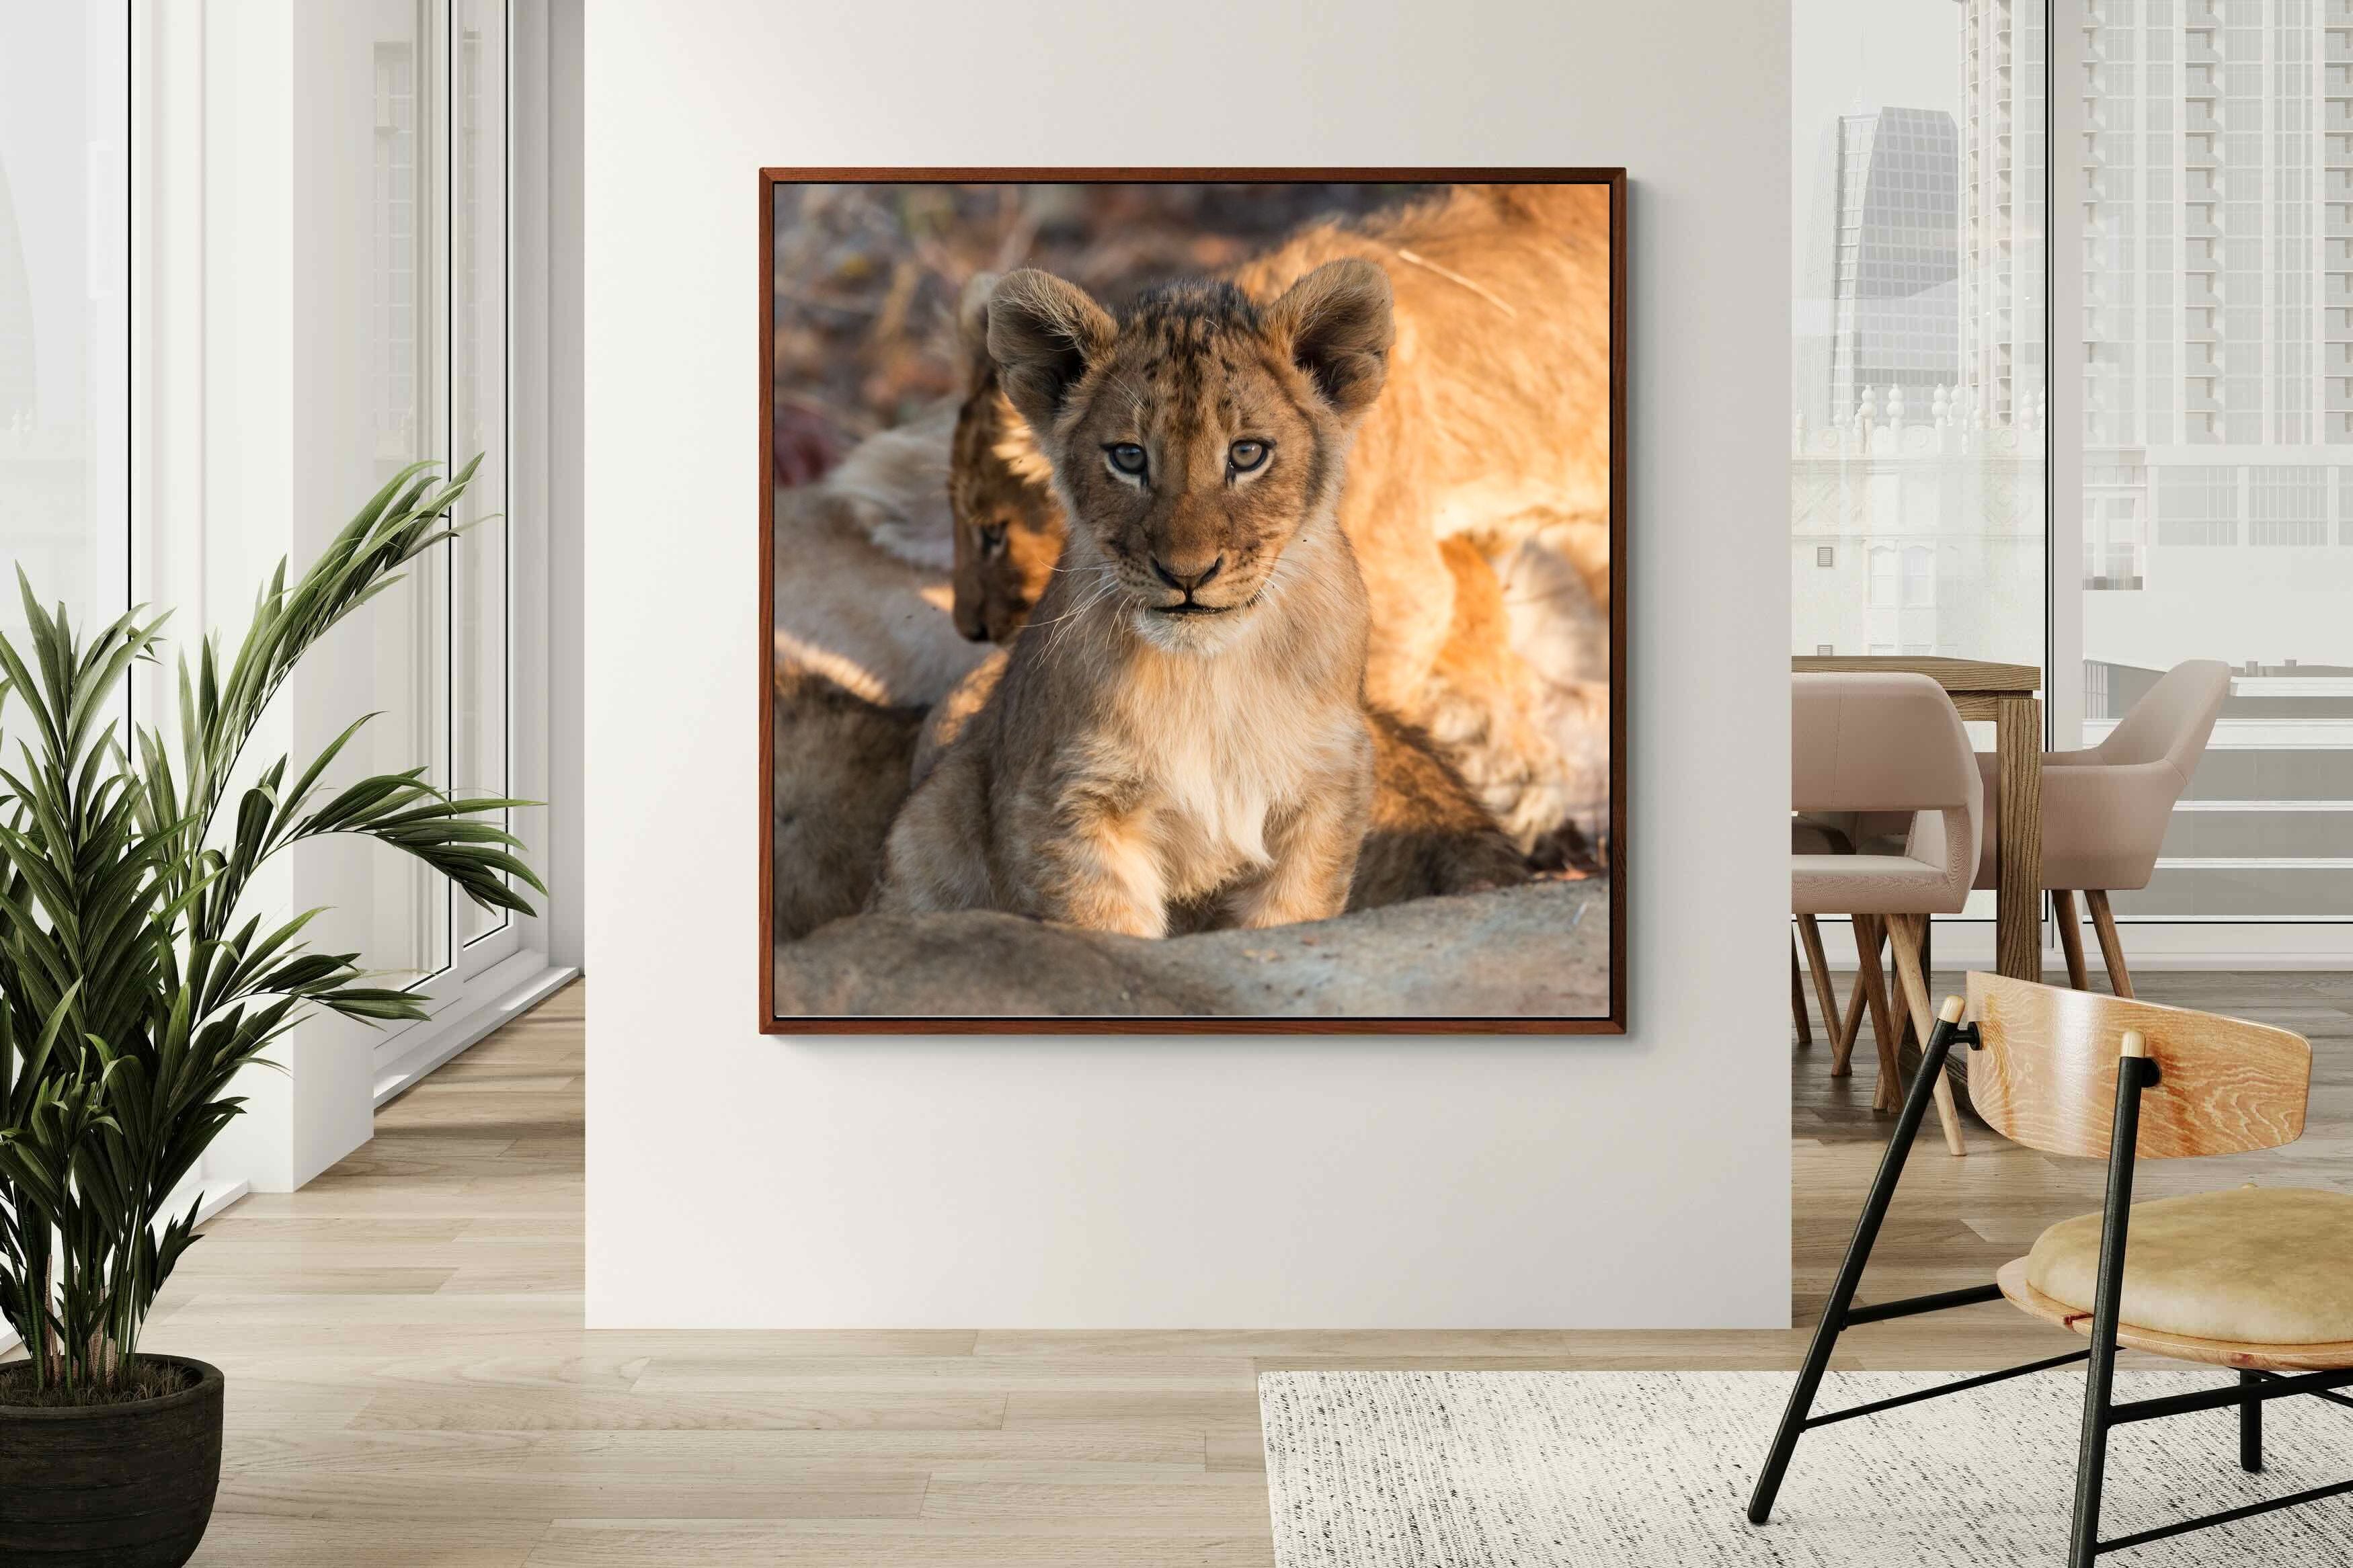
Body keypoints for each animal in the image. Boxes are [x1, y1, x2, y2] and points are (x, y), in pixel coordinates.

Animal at [876, 262, 1402, 935]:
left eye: (1247, 453)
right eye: (1129, 457)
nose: (1188, 573)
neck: (1210, 677)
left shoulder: (1326, 790)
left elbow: (1290, 918)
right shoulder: (1071, 801)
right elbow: (1107, 930)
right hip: (934, 819)